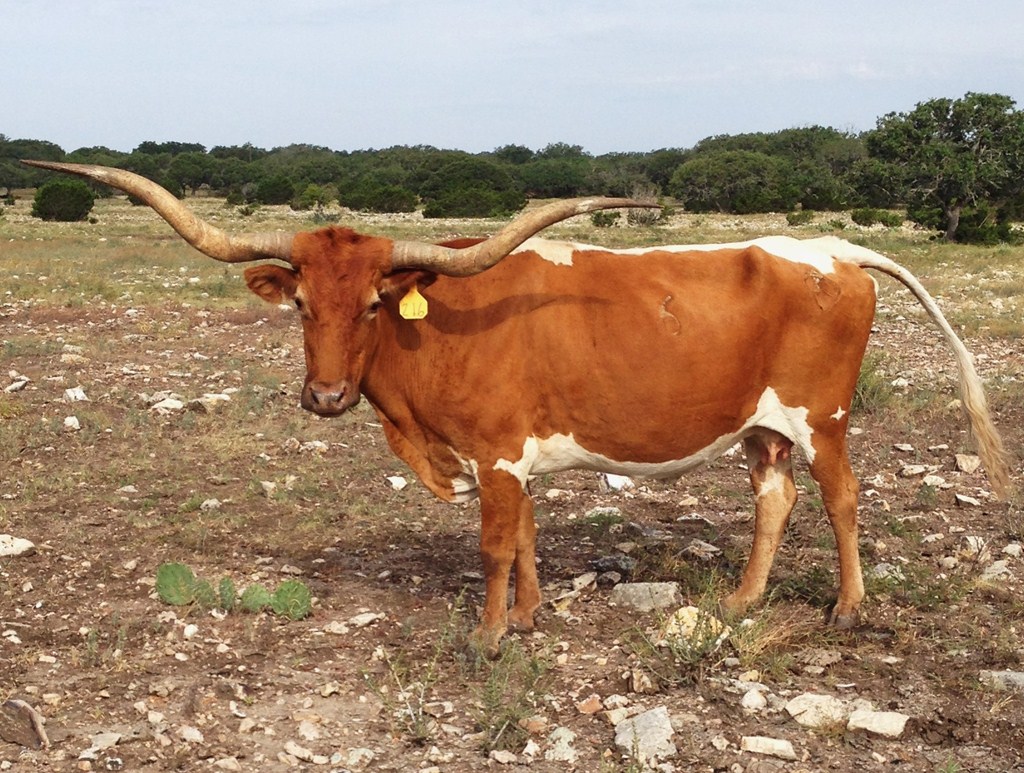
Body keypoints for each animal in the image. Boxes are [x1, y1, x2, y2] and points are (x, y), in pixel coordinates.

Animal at [23, 160, 1011, 657]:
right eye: (301, 303)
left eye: (374, 302)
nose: (326, 395)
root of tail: (835, 251)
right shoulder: (514, 456)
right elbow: (531, 534)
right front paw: (533, 617)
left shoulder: (494, 453)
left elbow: (497, 544)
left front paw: (494, 633)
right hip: (762, 426)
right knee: (776, 498)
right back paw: (740, 598)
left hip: (824, 417)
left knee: (843, 498)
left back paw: (847, 609)